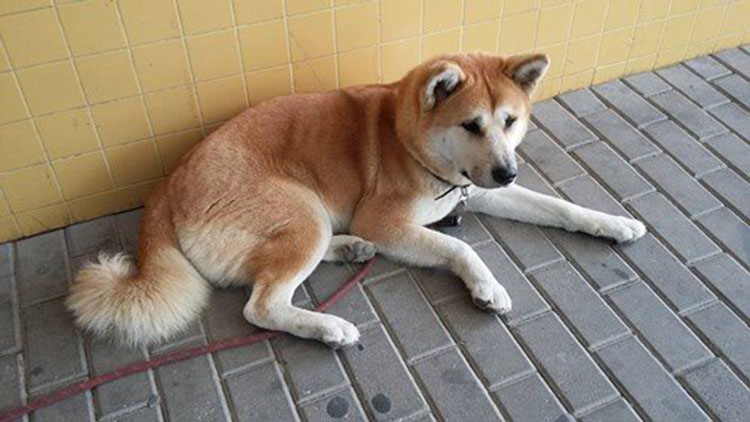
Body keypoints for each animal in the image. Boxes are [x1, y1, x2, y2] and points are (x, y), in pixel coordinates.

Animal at [67, 52, 648, 350]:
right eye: (471, 125)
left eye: (510, 121)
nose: (507, 172)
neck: (411, 142)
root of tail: (166, 185)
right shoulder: (386, 221)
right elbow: (460, 249)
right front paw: (487, 286)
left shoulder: (475, 192)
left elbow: (561, 207)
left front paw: (612, 223)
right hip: (301, 210)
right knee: (263, 305)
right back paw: (328, 327)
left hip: (306, 219)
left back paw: (349, 249)